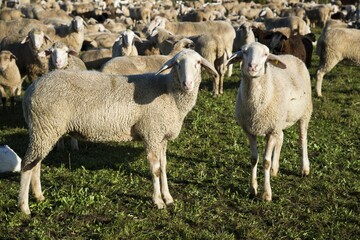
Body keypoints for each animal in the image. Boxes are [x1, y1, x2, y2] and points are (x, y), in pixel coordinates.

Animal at [18, 47, 218, 215]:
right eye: (177, 64)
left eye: (198, 63)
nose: (187, 84)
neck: (169, 93)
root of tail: (31, 90)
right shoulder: (151, 134)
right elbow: (155, 170)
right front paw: (158, 201)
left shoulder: (161, 137)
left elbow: (164, 167)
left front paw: (168, 197)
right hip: (44, 127)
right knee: (27, 164)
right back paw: (24, 207)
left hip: (44, 130)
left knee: (36, 163)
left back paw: (39, 196)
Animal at [226, 42, 314, 202]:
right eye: (244, 52)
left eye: (266, 54)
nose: (252, 67)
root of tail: (291, 56)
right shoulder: (250, 130)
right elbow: (253, 158)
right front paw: (252, 189)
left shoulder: (271, 130)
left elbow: (265, 162)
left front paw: (266, 194)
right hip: (280, 120)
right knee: (281, 138)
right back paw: (275, 169)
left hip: (304, 113)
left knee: (302, 139)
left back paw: (304, 168)